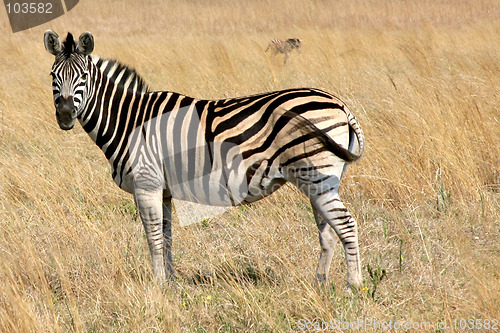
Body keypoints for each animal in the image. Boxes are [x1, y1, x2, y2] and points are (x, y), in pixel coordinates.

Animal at [45, 31, 366, 290]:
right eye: (53, 76)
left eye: (83, 78)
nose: (65, 115)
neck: (130, 121)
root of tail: (340, 105)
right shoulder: (164, 190)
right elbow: (166, 236)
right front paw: (171, 282)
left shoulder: (146, 184)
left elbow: (153, 237)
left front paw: (158, 286)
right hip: (319, 179)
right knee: (328, 231)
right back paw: (319, 283)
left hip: (317, 175)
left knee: (345, 224)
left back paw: (353, 285)